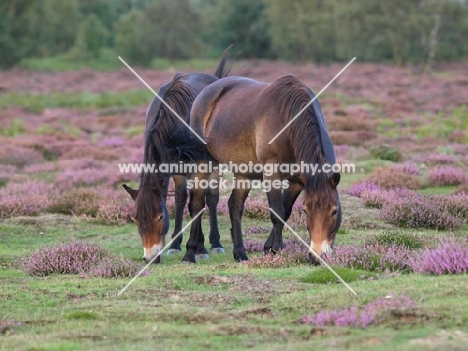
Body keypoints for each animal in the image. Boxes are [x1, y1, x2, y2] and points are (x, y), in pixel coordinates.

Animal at [184, 75, 344, 264]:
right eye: (306, 210)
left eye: (334, 211)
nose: (317, 257)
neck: (289, 122)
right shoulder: (272, 173)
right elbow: (277, 211)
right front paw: (278, 248)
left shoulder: (297, 181)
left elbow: (285, 210)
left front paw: (269, 248)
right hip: (203, 162)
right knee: (197, 203)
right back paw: (191, 253)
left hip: (243, 172)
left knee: (235, 206)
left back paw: (240, 253)